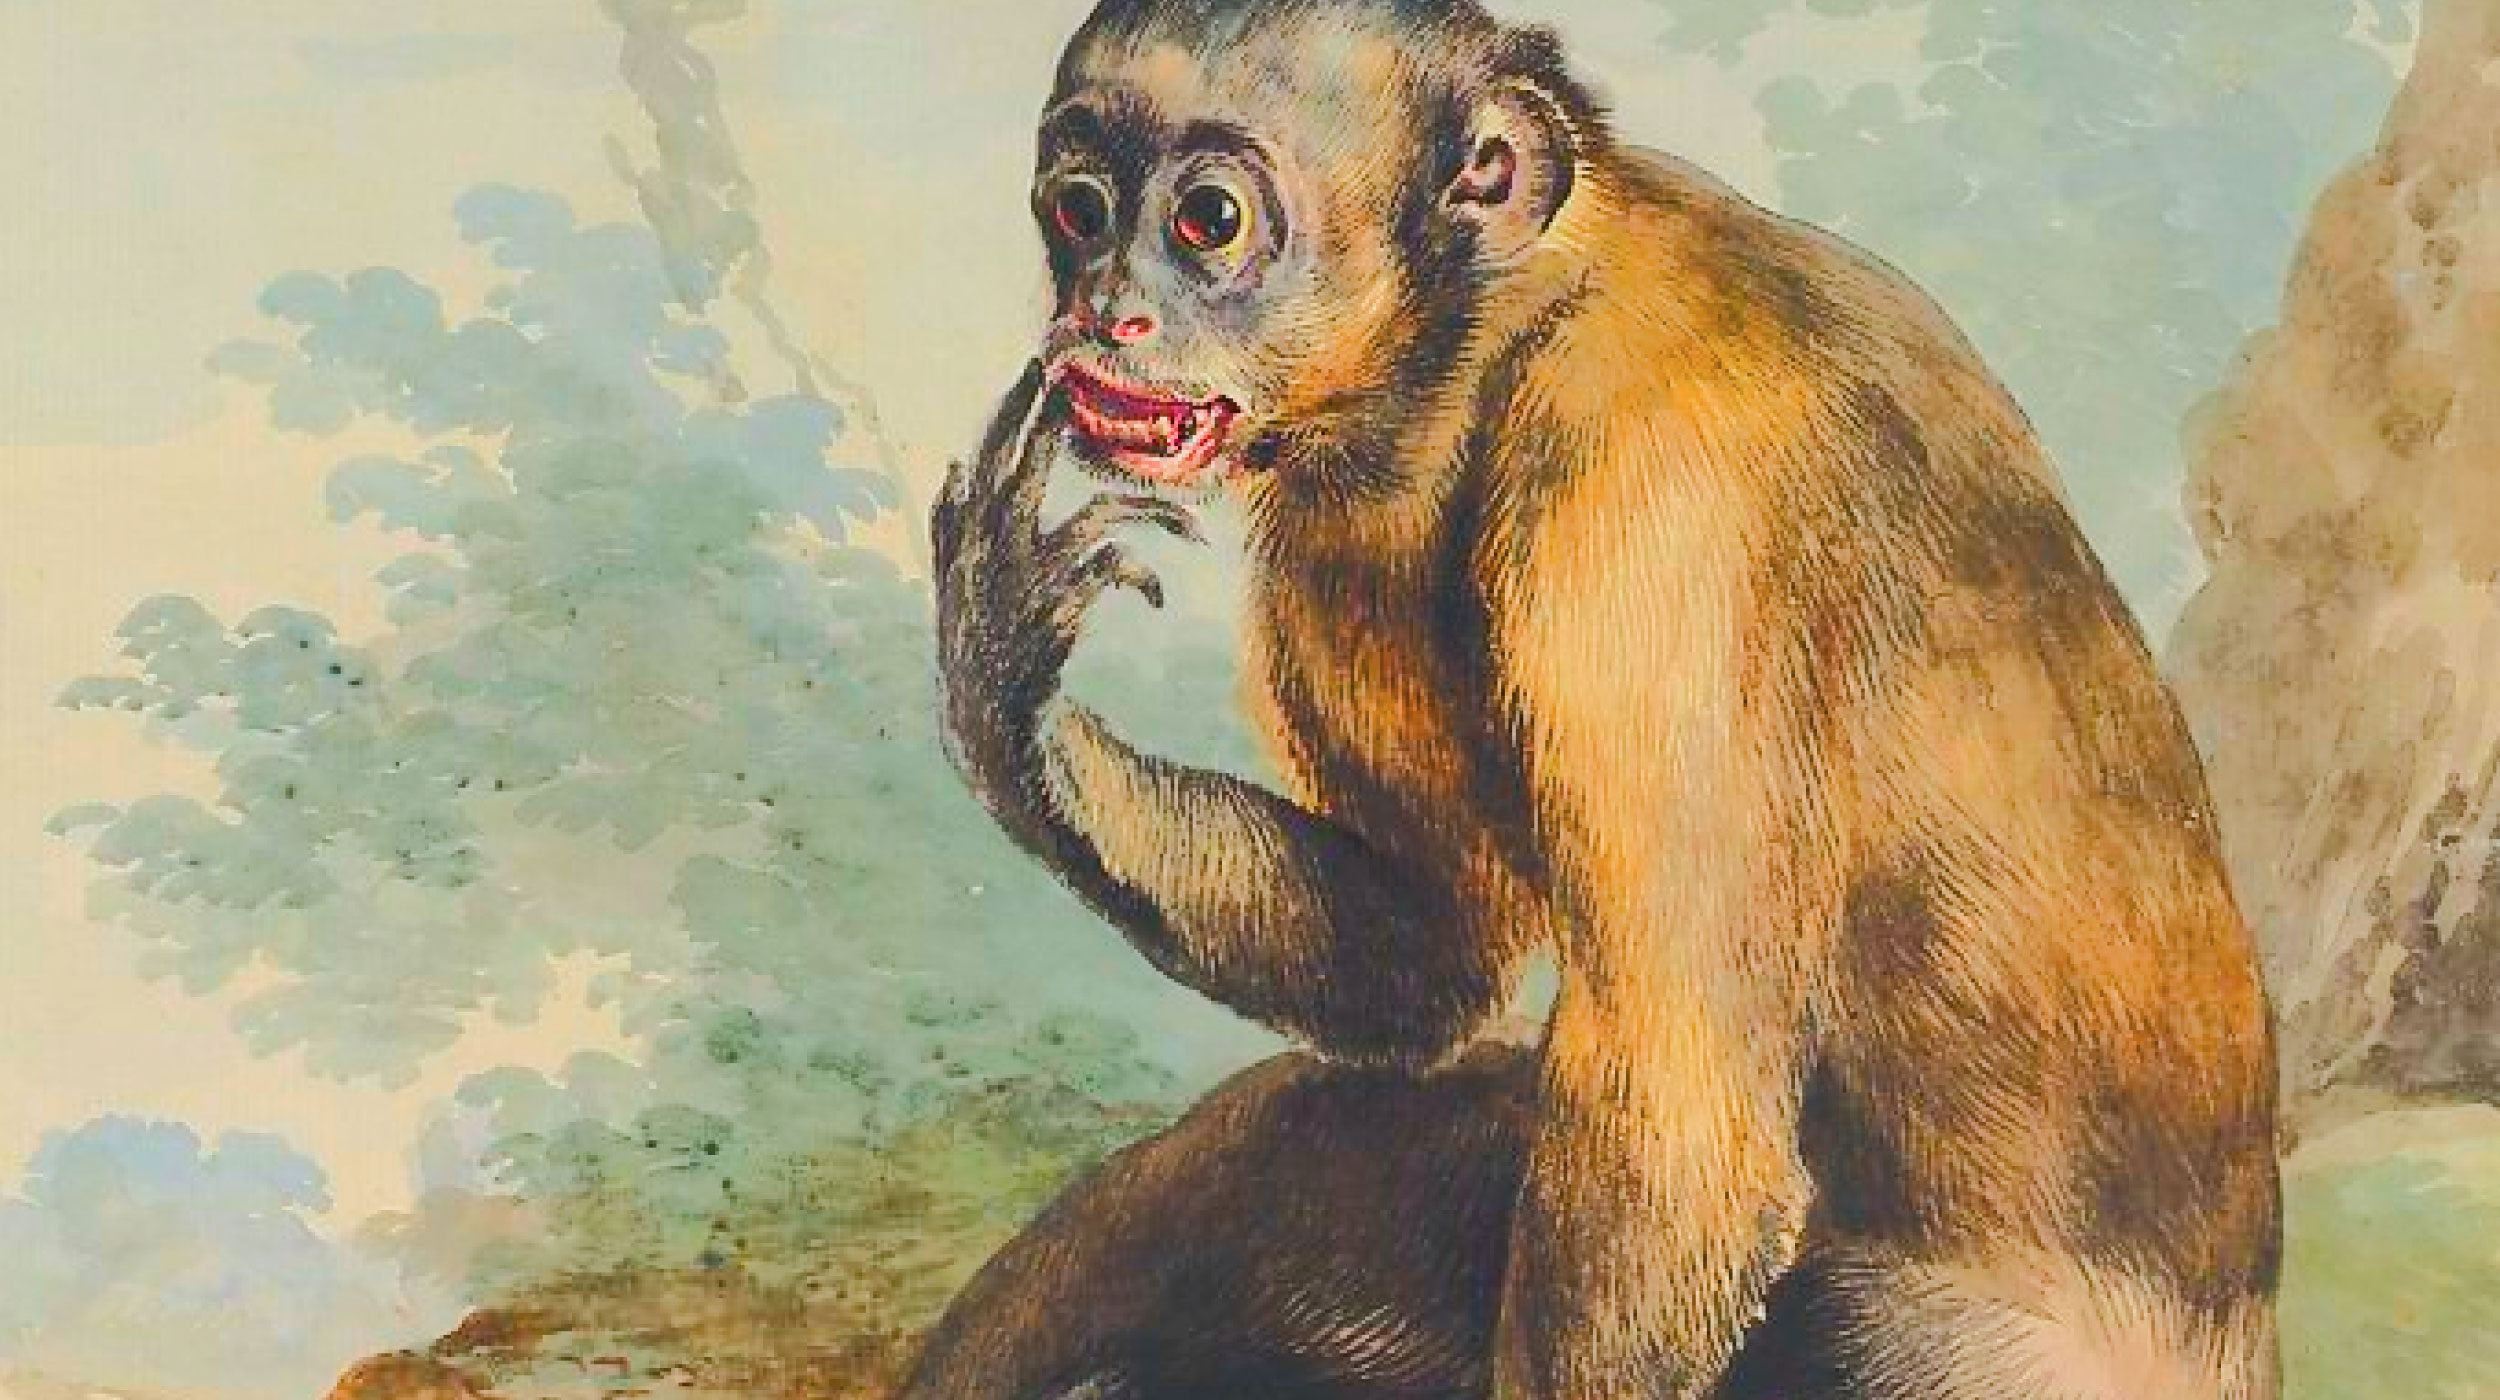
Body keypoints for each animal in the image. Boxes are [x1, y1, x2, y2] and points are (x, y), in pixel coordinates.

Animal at [931, 1, 2284, 1396]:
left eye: (1208, 219)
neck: (1504, 323)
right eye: (1080, 209)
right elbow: (1429, 953)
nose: (1106, 312)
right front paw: (1011, 702)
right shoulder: (1338, 520)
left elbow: (1679, 1114)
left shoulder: (1648, 484)